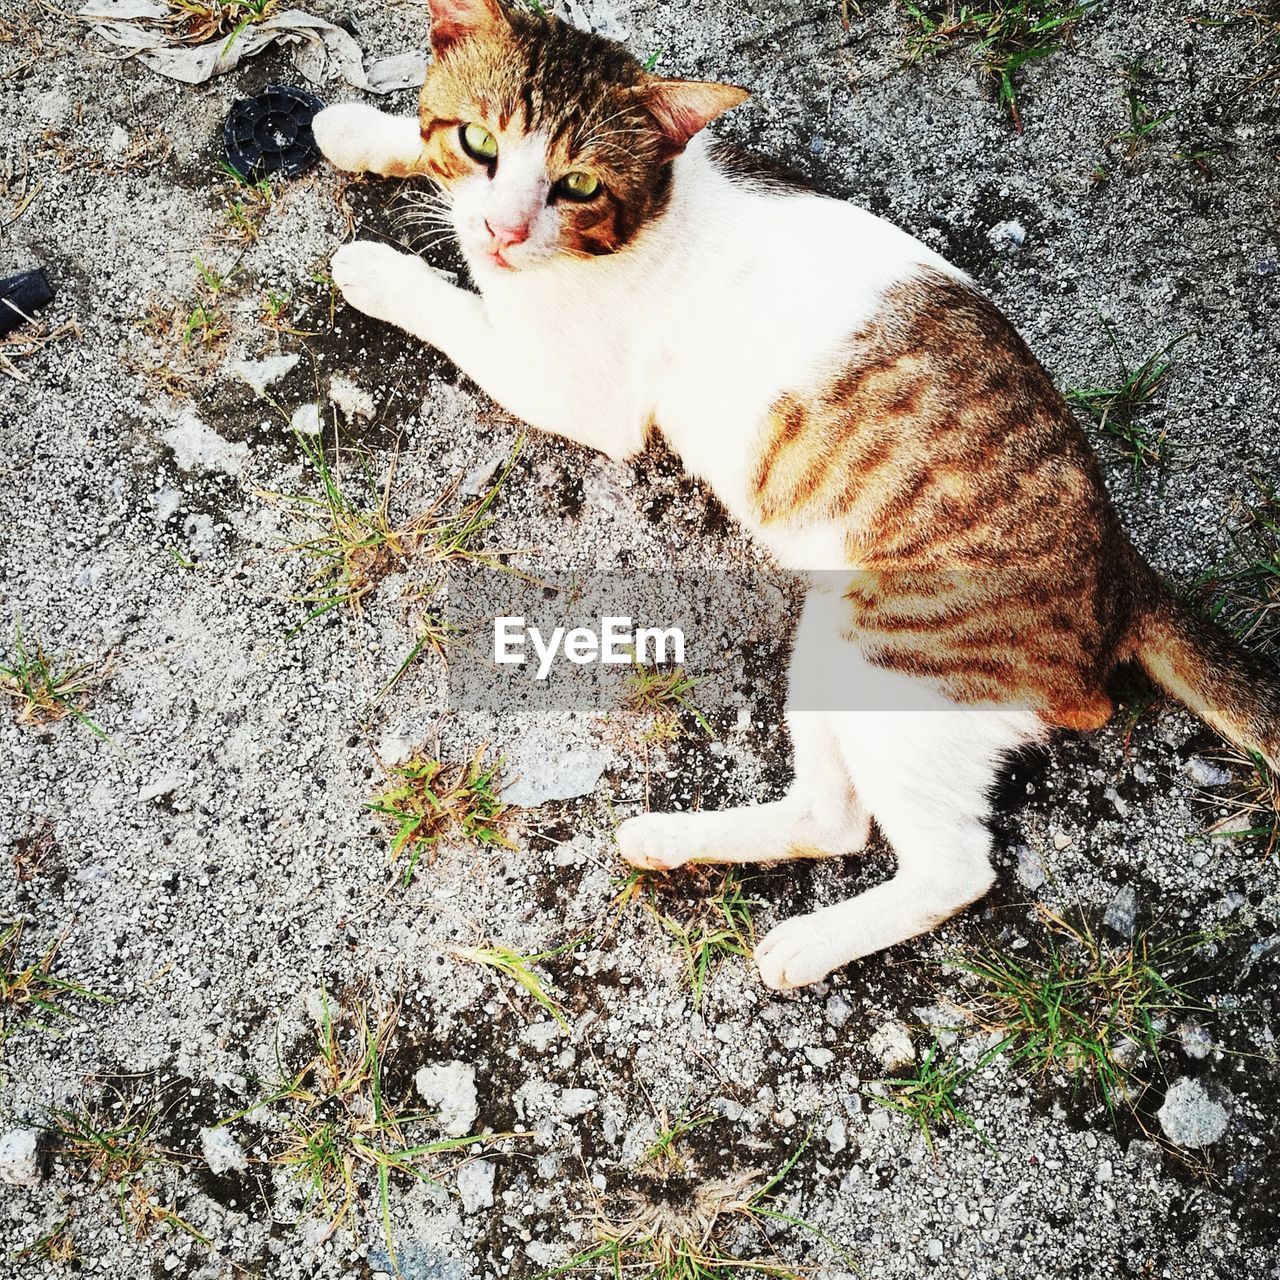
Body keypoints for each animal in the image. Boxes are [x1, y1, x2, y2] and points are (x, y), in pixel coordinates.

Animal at [312, 0, 1280, 988]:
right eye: (478, 141)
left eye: (576, 185)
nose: (505, 232)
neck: (657, 208)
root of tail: (1124, 573)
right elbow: (424, 163)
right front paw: (364, 131)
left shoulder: (575, 391)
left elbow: (463, 306)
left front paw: (385, 269)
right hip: (836, 658)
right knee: (834, 818)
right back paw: (673, 842)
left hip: (883, 652)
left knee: (952, 869)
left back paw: (809, 943)